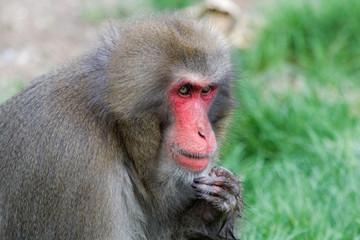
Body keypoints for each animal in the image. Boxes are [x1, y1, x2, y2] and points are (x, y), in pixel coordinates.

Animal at [0, 13, 243, 240]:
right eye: (184, 90)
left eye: (205, 91)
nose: (203, 132)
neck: (116, 131)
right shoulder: (80, 173)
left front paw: (216, 207)